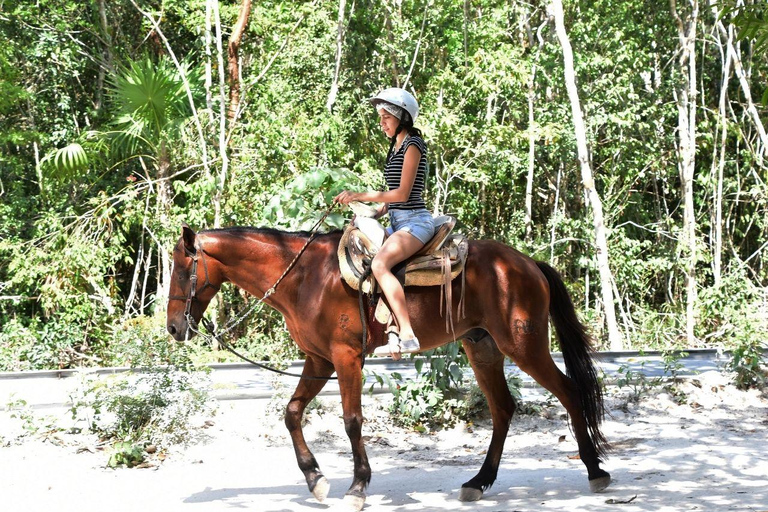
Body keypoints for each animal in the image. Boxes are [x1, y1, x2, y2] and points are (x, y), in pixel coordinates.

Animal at [165, 225, 608, 512]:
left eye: (183, 270)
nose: (172, 327)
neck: (305, 277)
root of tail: (528, 264)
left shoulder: (345, 358)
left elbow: (351, 421)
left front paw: (358, 486)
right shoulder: (318, 360)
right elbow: (291, 413)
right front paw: (315, 479)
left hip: (524, 346)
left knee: (569, 392)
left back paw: (594, 470)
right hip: (482, 349)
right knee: (502, 409)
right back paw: (478, 482)